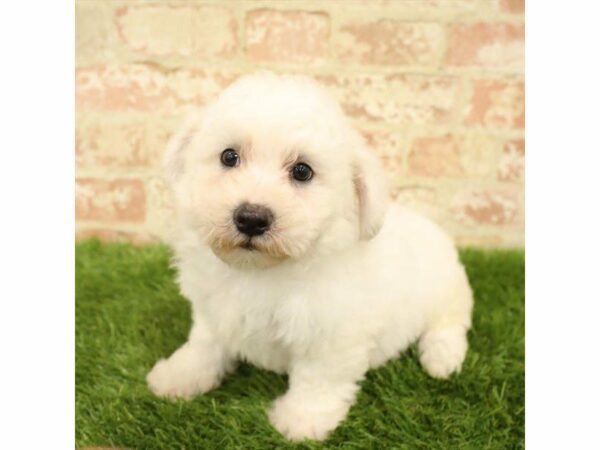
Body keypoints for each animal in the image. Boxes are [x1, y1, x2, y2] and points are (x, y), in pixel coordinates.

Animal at [146, 72, 474, 442]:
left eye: (302, 172)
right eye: (229, 157)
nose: (251, 218)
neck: (262, 271)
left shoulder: (332, 336)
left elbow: (319, 379)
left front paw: (302, 420)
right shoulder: (214, 311)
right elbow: (204, 344)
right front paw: (180, 376)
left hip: (447, 293)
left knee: (450, 324)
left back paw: (442, 359)